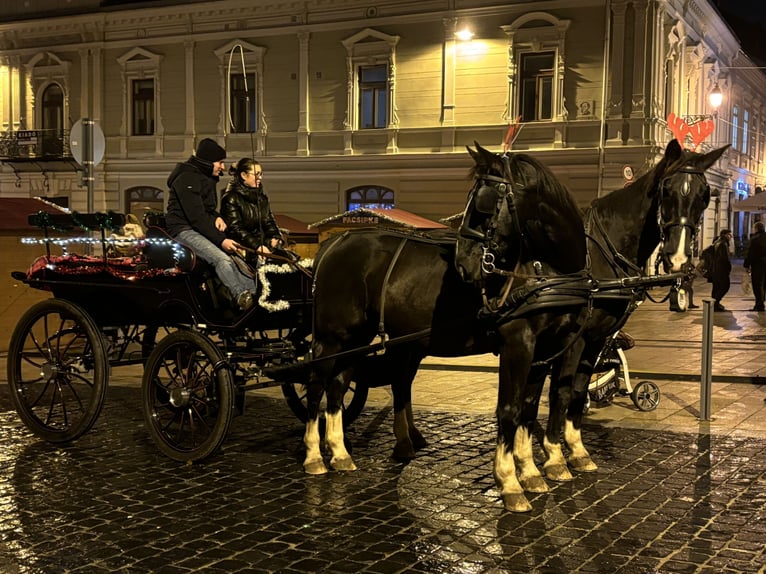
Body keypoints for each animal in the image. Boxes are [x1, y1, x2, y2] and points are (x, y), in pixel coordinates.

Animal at [302, 146, 588, 480]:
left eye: (483, 205)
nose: (463, 263)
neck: (548, 271)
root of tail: (335, 241)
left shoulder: (551, 347)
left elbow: (532, 407)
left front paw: (532, 469)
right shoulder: (518, 343)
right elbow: (510, 408)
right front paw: (511, 476)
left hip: (356, 338)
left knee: (338, 385)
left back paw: (339, 452)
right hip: (332, 337)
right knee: (316, 385)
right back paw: (314, 455)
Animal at [460, 138, 728, 512]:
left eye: (704, 195)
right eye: (667, 191)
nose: (678, 260)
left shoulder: (595, 339)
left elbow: (574, 393)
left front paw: (575, 451)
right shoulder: (567, 340)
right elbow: (557, 393)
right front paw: (554, 458)